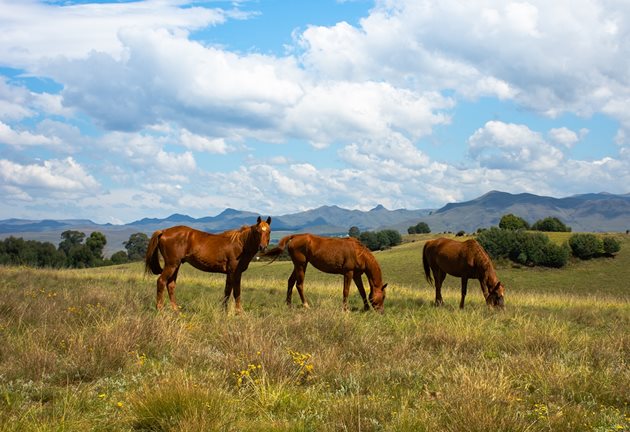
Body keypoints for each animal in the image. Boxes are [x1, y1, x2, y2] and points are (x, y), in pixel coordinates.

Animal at [262, 235, 390, 312]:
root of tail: (295, 236)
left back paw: (289, 305)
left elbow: (362, 291)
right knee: (299, 284)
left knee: (290, 282)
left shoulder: (356, 275)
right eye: (383, 296)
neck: (359, 253)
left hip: (298, 266)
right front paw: (345, 309)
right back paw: (305, 305)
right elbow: (346, 291)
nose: (382, 312)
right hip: (301, 265)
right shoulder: (348, 273)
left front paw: (366, 308)